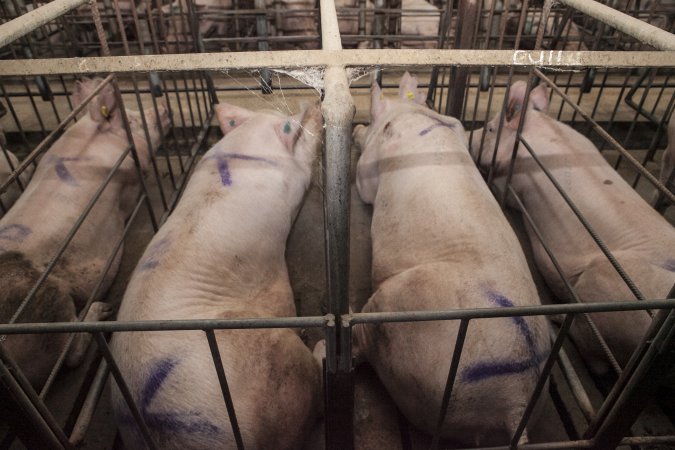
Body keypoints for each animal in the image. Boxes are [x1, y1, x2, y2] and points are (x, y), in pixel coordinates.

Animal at [352, 72, 552, 444]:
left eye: (370, 120)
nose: (357, 125)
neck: (417, 114)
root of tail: (515, 398)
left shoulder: (369, 171)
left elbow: (364, 185)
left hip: (398, 318)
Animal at [470, 81, 675, 376]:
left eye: (488, 128)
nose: (468, 133)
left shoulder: (510, 185)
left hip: (606, 287)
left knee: (594, 356)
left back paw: (556, 318)